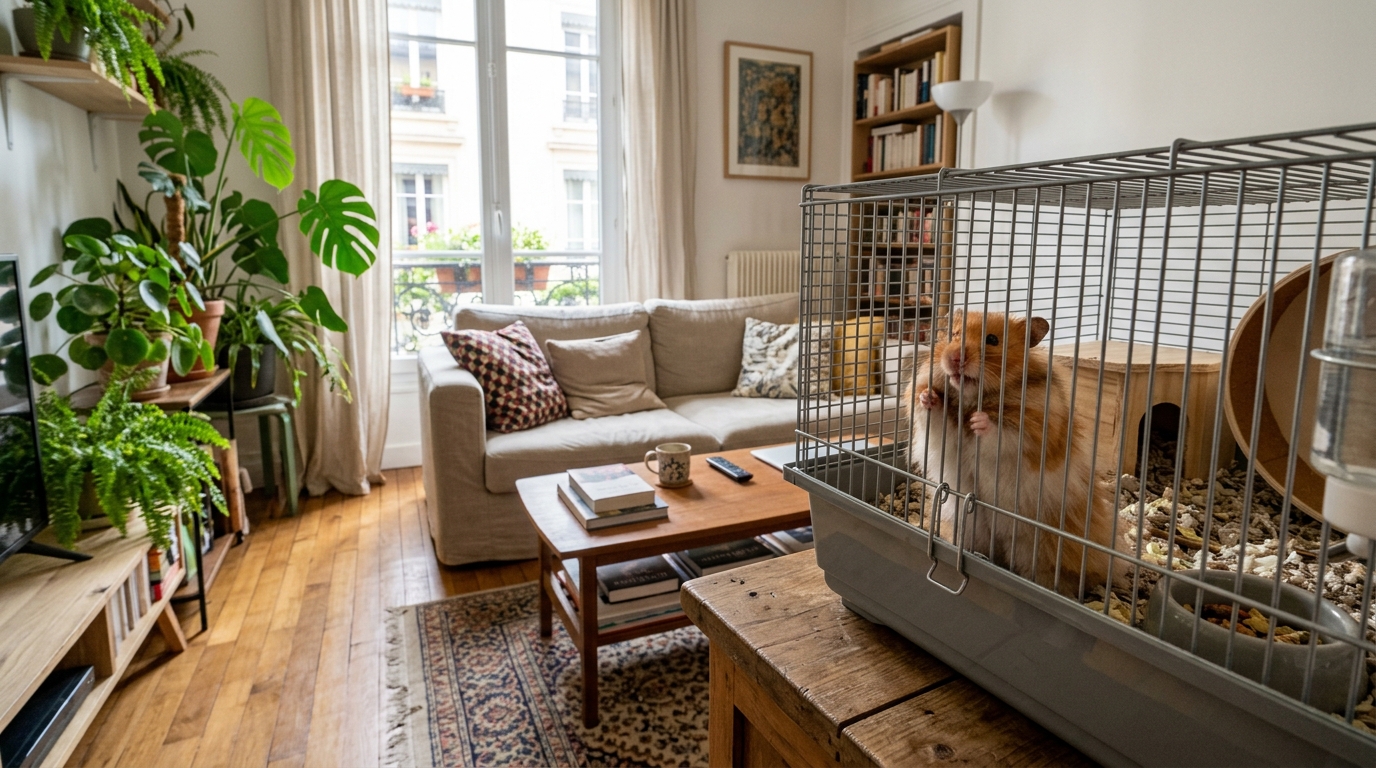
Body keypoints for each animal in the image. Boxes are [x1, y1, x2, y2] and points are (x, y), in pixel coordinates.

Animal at [901, 309, 1122, 597]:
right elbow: (933, 413)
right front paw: (928, 397)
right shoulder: (943, 433)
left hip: (1036, 549)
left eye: (993, 340)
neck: (974, 397)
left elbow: (1002, 433)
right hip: (970, 529)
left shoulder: (1033, 430)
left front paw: (978, 421)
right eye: (955, 334)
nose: (955, 358)